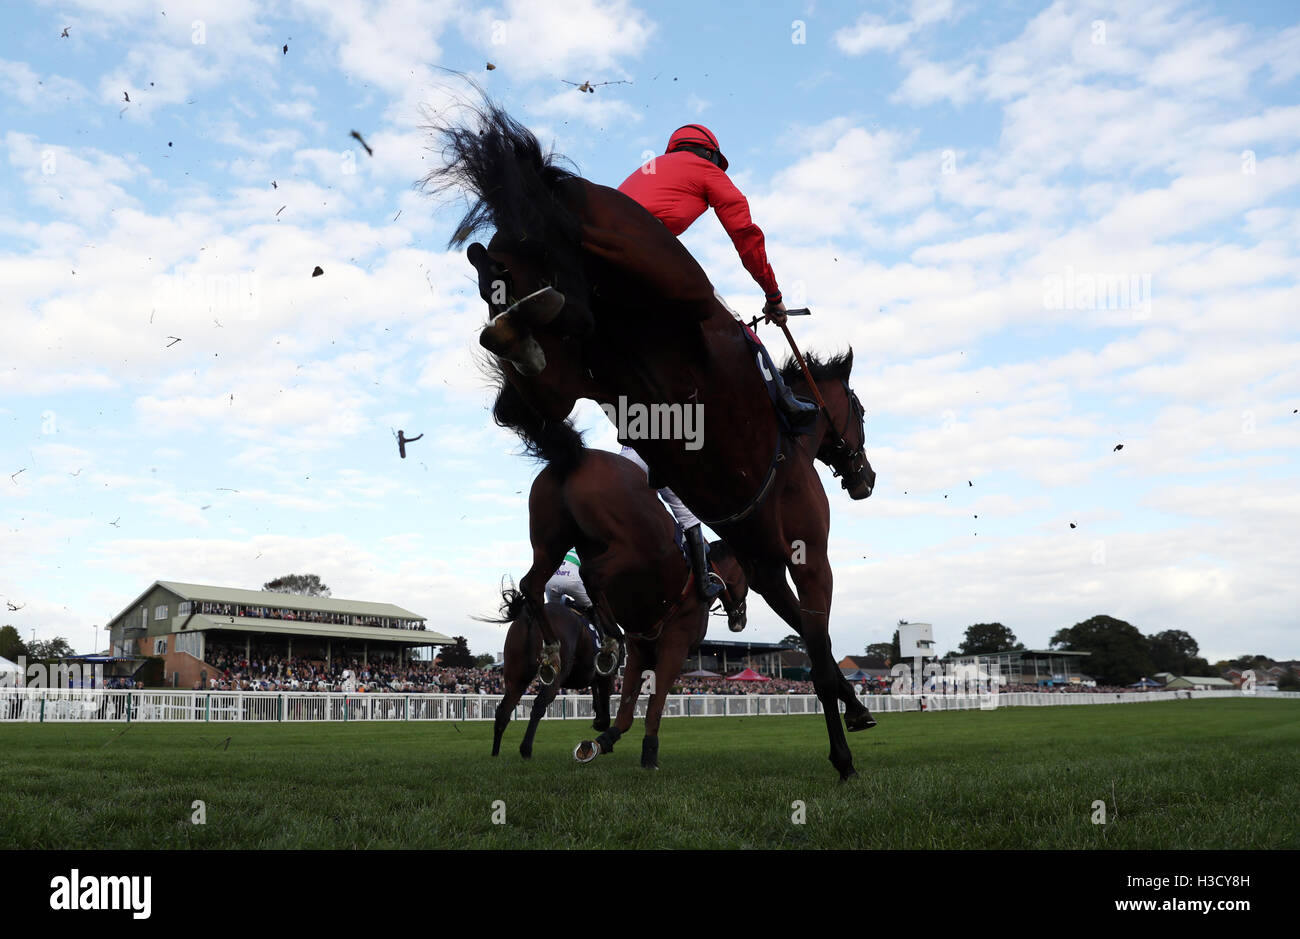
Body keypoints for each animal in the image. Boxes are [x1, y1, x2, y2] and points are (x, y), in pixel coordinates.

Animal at [488, 595, 613, 759]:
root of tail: (530, 614)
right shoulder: (606, 668)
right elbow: (604, 694)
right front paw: (601, 724)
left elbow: (595, 690)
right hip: (554, 674)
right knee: (539, 705)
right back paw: (526, 749)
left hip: (515, 677)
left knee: (504, 710)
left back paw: (495, 753)